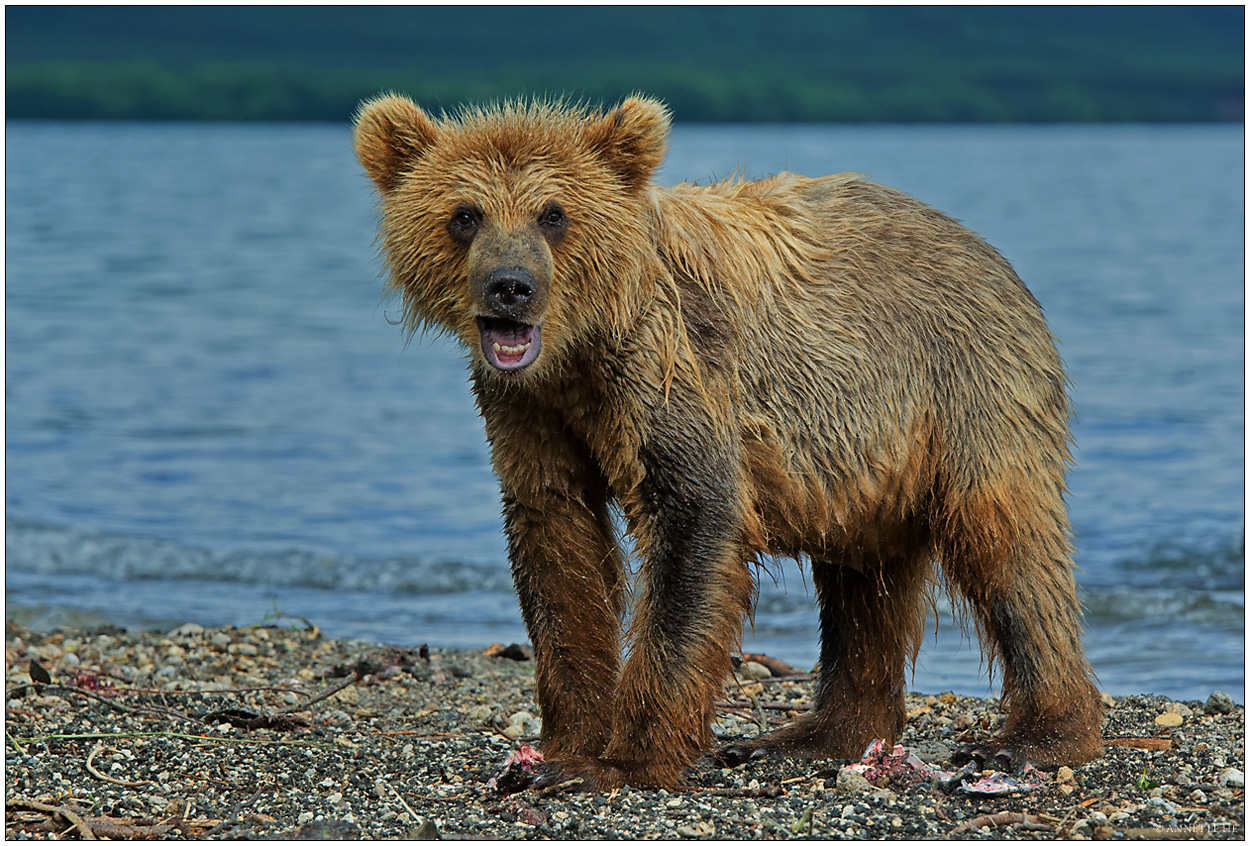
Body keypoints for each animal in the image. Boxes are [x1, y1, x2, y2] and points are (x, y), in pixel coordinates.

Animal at [352, 94, 1105, 789]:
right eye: (466, 214)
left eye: (553, 213)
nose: (511, 287)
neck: (581, 349)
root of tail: (985, 250)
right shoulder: (528, 410)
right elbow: (558, 546)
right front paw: (562, 748)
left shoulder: (670, 368)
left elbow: (693, 524)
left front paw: (622, 758)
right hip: (861, 460)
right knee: (865, 582)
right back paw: (812, 736)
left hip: (961, 387)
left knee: (1006, 541)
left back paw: (1034, 736)